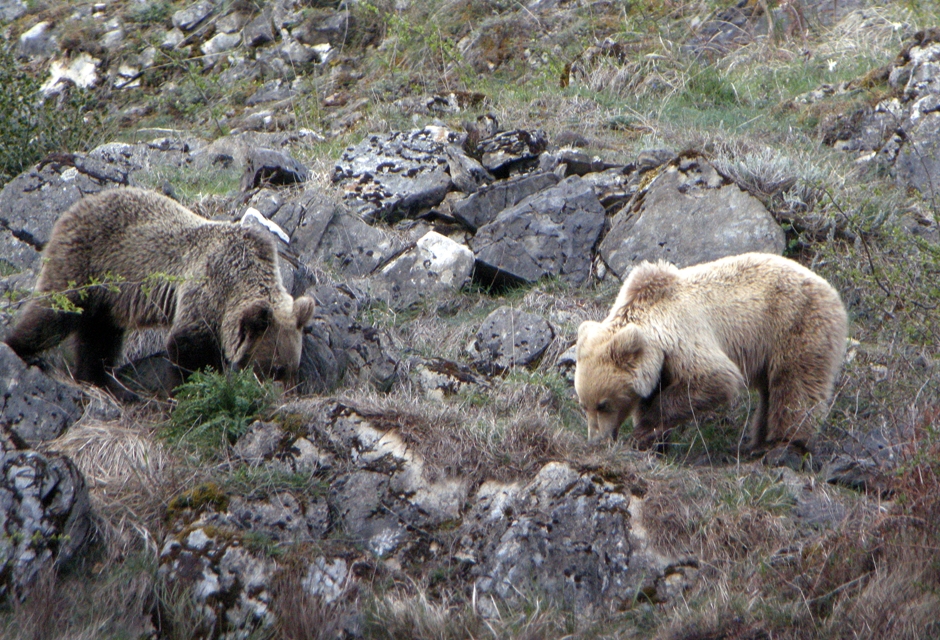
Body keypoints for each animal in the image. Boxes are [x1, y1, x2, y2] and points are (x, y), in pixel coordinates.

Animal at [3, 186, 316, 396]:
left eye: (293, 368)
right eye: (275, 367)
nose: (284, 394)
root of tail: (78, 204)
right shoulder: (204, 290)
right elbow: (187, 347)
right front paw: (187, 392)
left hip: (108, 295)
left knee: (99, 336)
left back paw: (96, 379)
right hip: (85, 262)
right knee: (54, 312)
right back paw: (17, 346)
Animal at [572, 252, 852, 452]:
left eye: (603, 404)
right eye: (584, 404)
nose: (596, 440)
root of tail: (832, 290)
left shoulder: (682, 337)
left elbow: (715, 378)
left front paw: (643, 432)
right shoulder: (660, 364)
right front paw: (653, 442)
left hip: (796, 325)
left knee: (795, 384)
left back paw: (785, 444)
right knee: (770, 391)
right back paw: (758, 443)